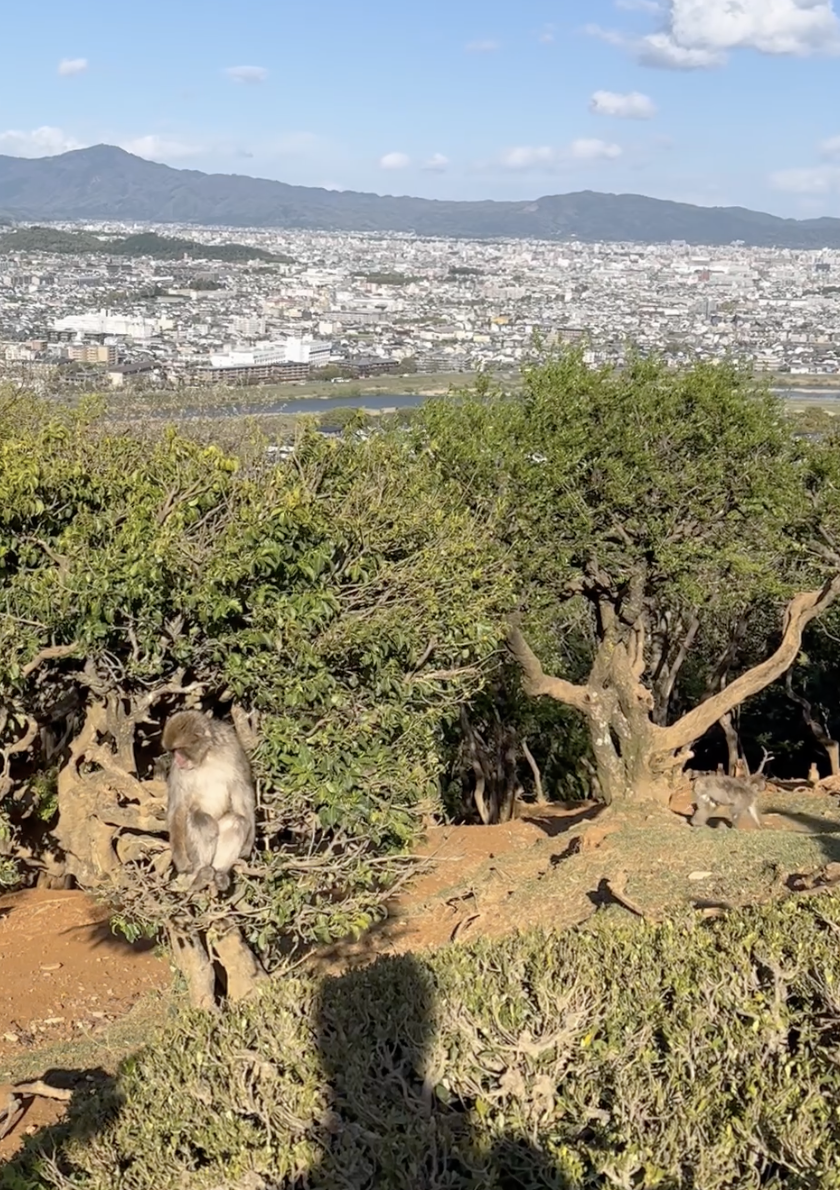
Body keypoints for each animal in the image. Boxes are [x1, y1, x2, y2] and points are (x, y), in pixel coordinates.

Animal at [162, 710, 256, 892]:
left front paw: (249, 842)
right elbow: (178, 808)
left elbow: (242, 791)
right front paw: (180, 859)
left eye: (178, 750)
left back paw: (219, 873)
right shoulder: (180, 771)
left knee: (238, 821)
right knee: (201, 820)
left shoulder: (233, 748)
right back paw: (200, 875)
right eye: (173, 752)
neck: (207, 756)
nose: (177, 759)